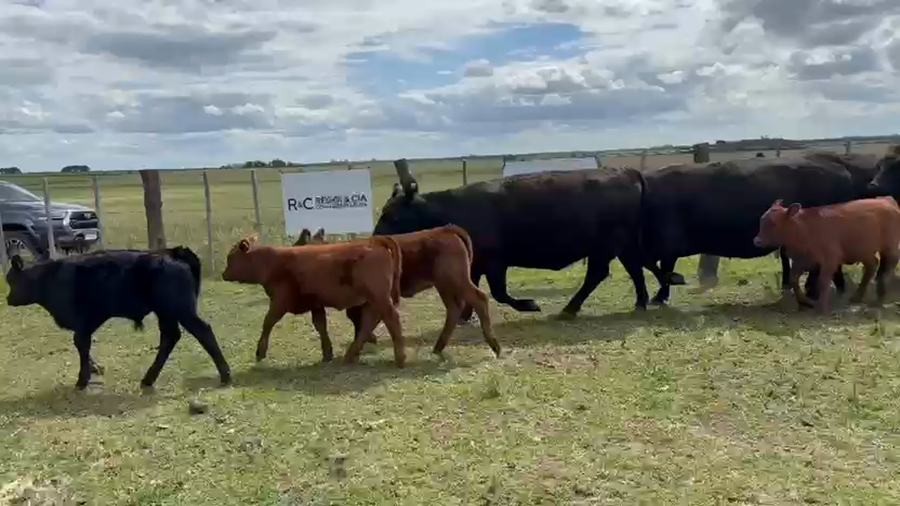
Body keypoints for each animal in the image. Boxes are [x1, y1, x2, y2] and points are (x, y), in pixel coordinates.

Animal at [4, 246, 231, 390]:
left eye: (12, 280)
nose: (8, 299)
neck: (50, 276)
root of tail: (172, 252)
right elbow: (83, 346)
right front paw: (94, 369)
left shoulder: (85, 321)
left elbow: (81, 344)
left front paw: (83, 379)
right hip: (166, 313)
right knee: (170, 337)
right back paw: (148, 378)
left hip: (180, 310)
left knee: (202, 331)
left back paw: (225, 374)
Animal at [220, 235, 408, 367]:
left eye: (230, 258)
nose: (223, 274)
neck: (271, 262)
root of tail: (374, 241)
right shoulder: (316, 304)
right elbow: (320, 326)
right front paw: (327, 353)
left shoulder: (280, 301)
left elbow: (268, 322)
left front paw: (260, 352)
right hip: (371, 300)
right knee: (369, 322)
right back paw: (350, 356)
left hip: (379, 297)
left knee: (391, 319)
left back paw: (400, 358)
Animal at [293, 225, 501, 359]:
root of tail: (447, 230)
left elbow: (364, 320)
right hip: (444, 285)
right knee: (454, 308)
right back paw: (438, 347)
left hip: (456, 280)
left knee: (479, 299)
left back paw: (494, 345)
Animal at [372, 158, 677, 321]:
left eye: (392, 215)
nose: (375, 239)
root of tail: (625, 171)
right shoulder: (477, 262)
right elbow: (473, 287)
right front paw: (465, 315)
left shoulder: (495, 262)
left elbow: (499, 293)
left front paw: (529, 304)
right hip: (616, 245)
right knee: (631, 268)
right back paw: (637, 301)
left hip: (610, 244)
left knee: (609, 272)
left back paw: (574, 308)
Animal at [753, 197, 900, 313]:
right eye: (762, 221)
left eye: (773, 224)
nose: (757, 240)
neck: (804, 230)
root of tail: (886, 199)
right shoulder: (801, 261)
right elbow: (793, 280)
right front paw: (805, 301)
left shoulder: (830, 259)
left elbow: (822, 282)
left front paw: (821, 308)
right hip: (862, 250)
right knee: (872, 265)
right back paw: (857, 296)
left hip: (889, 245)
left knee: (892, 260)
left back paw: (881, 289)